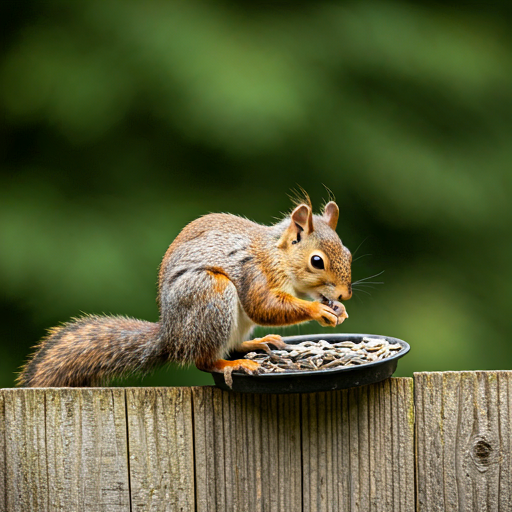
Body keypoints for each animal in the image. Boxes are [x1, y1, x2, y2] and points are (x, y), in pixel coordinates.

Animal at [17, 194, 352, 386]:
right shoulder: (253, 270)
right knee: (204, 359)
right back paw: (234, 363)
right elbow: (263, 306)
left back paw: (254, 344)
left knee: (229, 345)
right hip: (211, 294)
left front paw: (340, 311)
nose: (344, 295)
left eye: (348, 254)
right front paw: (318, 310)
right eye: (317, 261)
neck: (277, 254)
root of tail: (172, 337)